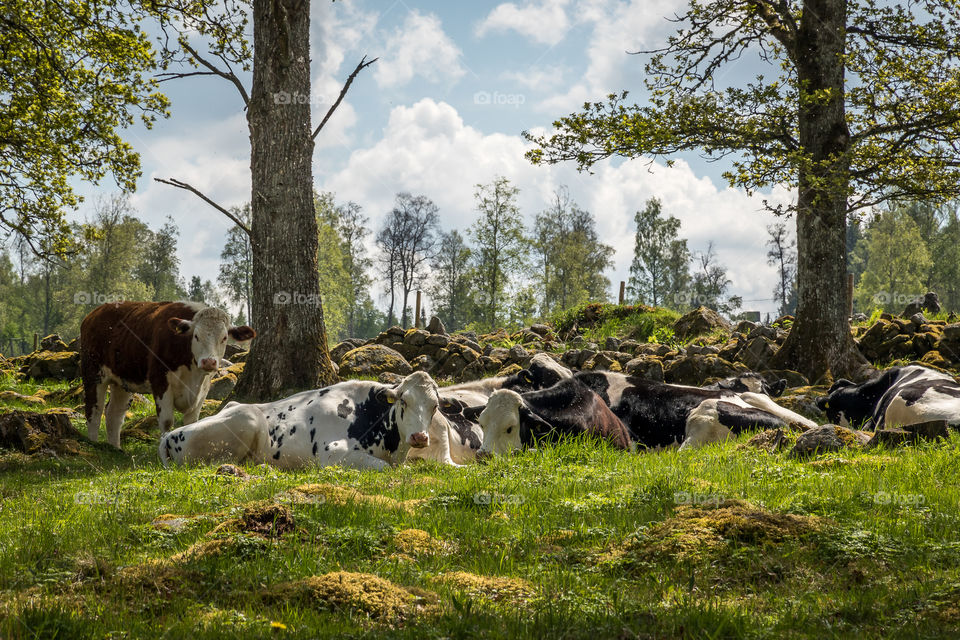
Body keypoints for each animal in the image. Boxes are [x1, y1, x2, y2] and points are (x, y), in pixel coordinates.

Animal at [81, 301, 255, 448]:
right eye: (196, 336)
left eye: (224, 338)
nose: (208, 362)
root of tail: (95, 313)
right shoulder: (160, 381)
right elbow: (166, 421)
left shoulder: (203, 388)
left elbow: (192, 421)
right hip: (93, 373)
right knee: (94, 411)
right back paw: (93, 444)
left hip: (122, 380)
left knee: (114, 415)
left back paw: (115, 449)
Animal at [159, 371, 448, 470]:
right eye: (404, 401)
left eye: (434, 406)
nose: (420, 437)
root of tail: (168, 435)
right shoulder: (332, 453)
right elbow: (384, 468)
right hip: (248, 418)